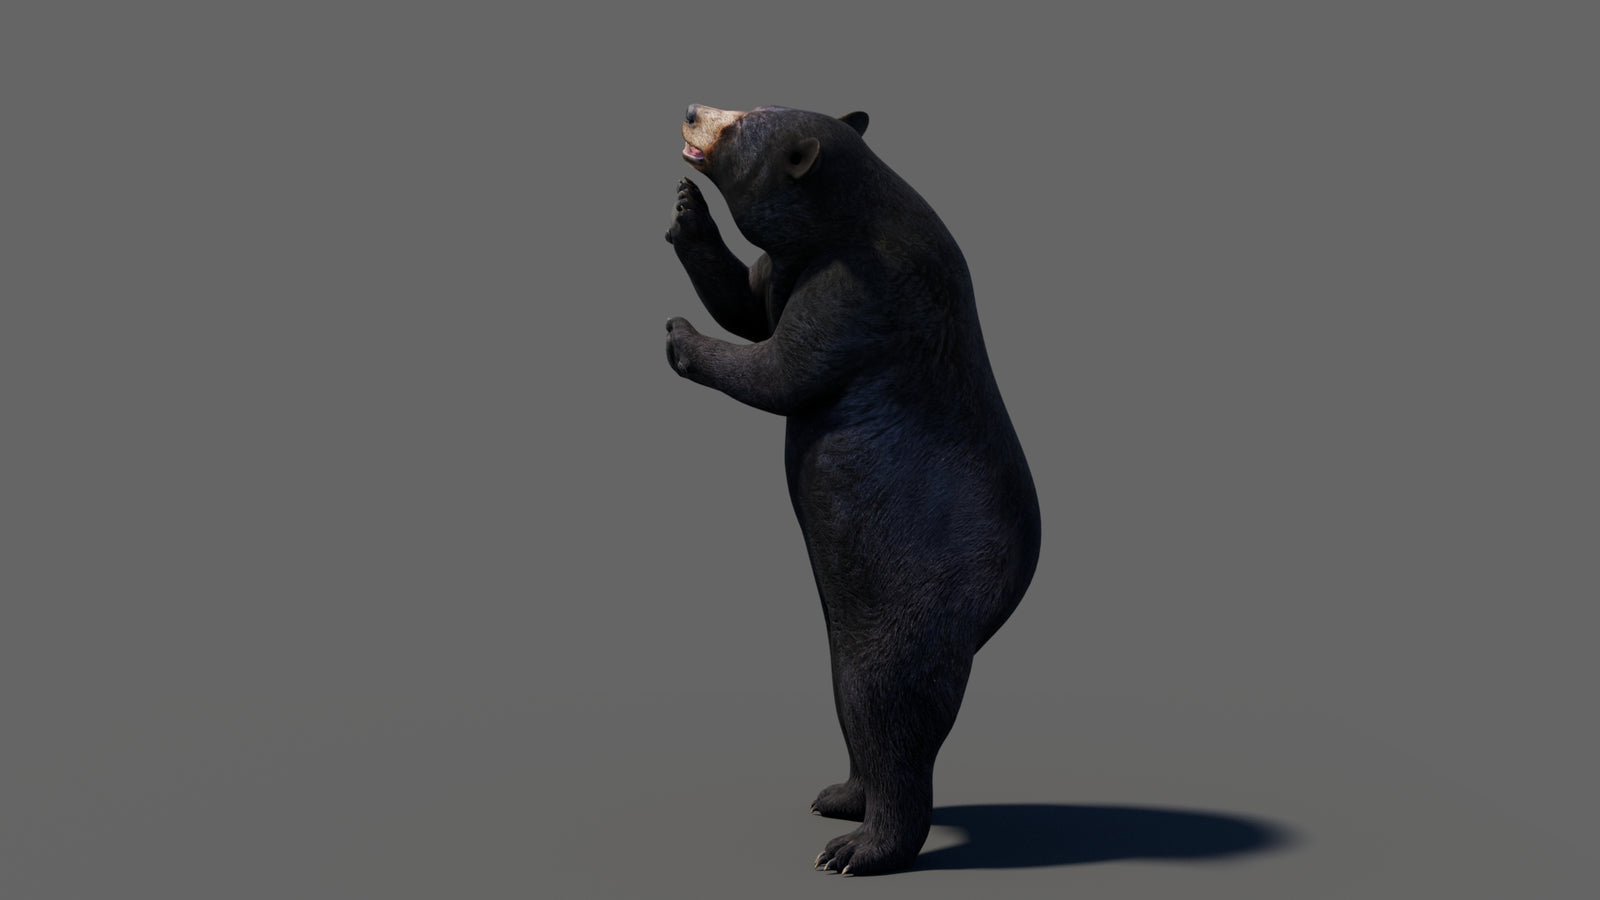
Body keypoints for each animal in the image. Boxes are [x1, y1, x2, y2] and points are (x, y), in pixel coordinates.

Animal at [663, 104, 1041, 875]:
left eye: (740, 124)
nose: (689, 111)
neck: (846, 214)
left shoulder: (857, 289)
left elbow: (780, 367)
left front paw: (680, 336)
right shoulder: (797, 263)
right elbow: (749, 300)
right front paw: (686, 213)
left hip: (914, 601)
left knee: (888, 705)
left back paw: (859, 848)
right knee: (851, 699)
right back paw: (839, 797)